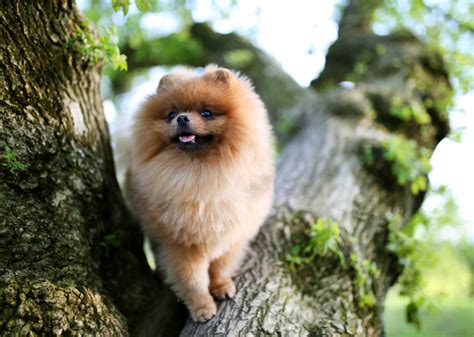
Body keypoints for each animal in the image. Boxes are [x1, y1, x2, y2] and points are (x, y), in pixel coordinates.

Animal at [124, 65, 276, 320]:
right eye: (171, 114)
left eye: (206, 113)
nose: (182, 118)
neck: (201, 174)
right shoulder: (182, 246)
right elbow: (192, 280)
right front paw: (202, 307)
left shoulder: (233, 234)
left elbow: (221, 266)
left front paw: (221, 286)